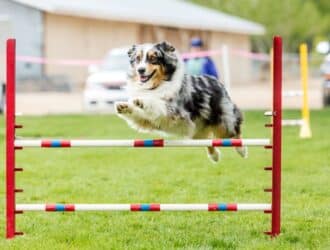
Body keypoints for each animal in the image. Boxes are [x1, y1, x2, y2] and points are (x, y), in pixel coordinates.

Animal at [114, 41, 246, 162]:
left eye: (153, 58)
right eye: (138, 59)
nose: (140, 70)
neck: (156, 85)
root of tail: (216, 80)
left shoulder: (174, 111)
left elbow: (156, 103)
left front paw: (142, 101)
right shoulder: (147, 120)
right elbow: (138, 114)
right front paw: (124, 106)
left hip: (224, 121)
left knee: (234, 132)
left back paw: (242, 150)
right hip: (196, 130)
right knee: (208, 141)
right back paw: (214, 156)